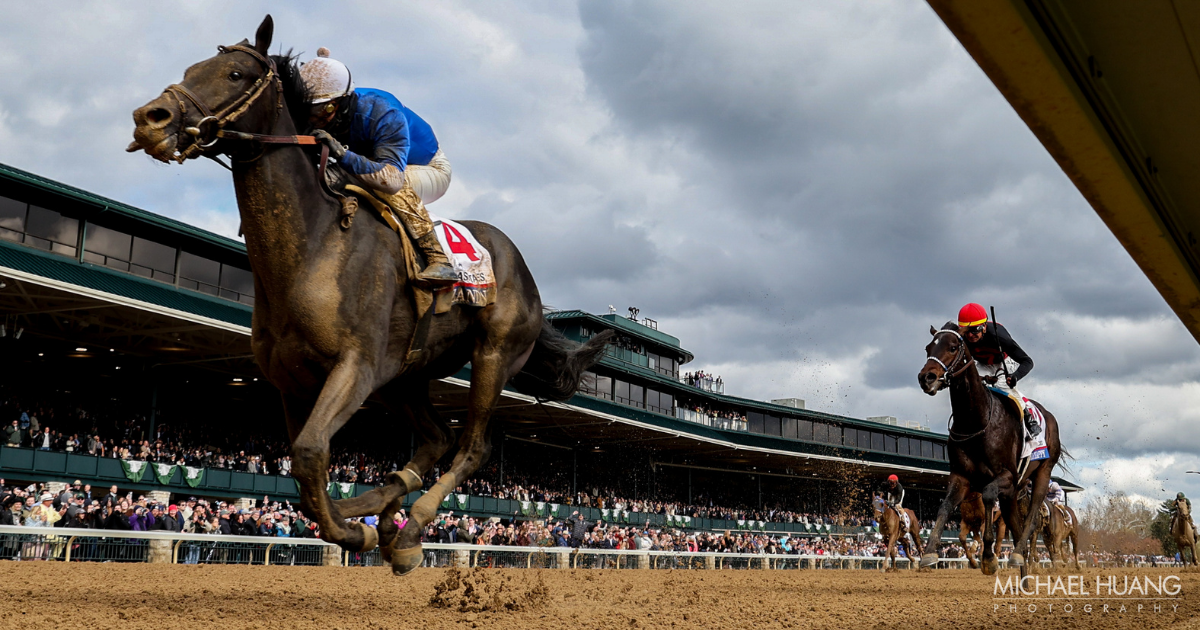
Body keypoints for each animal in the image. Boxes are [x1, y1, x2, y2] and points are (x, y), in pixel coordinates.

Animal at [129, 15, 609, 573]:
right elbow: (305, 466)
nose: (150, 117)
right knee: (435, 438)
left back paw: (407, 527)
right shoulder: (293, 382)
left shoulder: (355, 365)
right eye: (191, 69)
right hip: (404, 375)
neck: (313, 246)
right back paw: (382, 513)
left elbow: (310, 453)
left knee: (472, 447)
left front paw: (351, 533)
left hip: (492, 355)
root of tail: (527, 275)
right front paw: (350, 523)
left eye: (233, 73)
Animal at [916, 324, 1060, 573]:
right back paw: (1021, 566)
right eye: (928, 348)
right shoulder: (962, 476)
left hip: (1042, 472)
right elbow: (944, 507)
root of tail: (1049, 416)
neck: (976, 420)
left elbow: (988, 496)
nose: (927, 377)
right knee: (1018, 529)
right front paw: (930, 552)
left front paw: (989, 557)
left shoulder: (1007, 476)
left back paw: (1016, 554)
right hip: (1013, 493)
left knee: (1031, 518)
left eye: (952, 347)